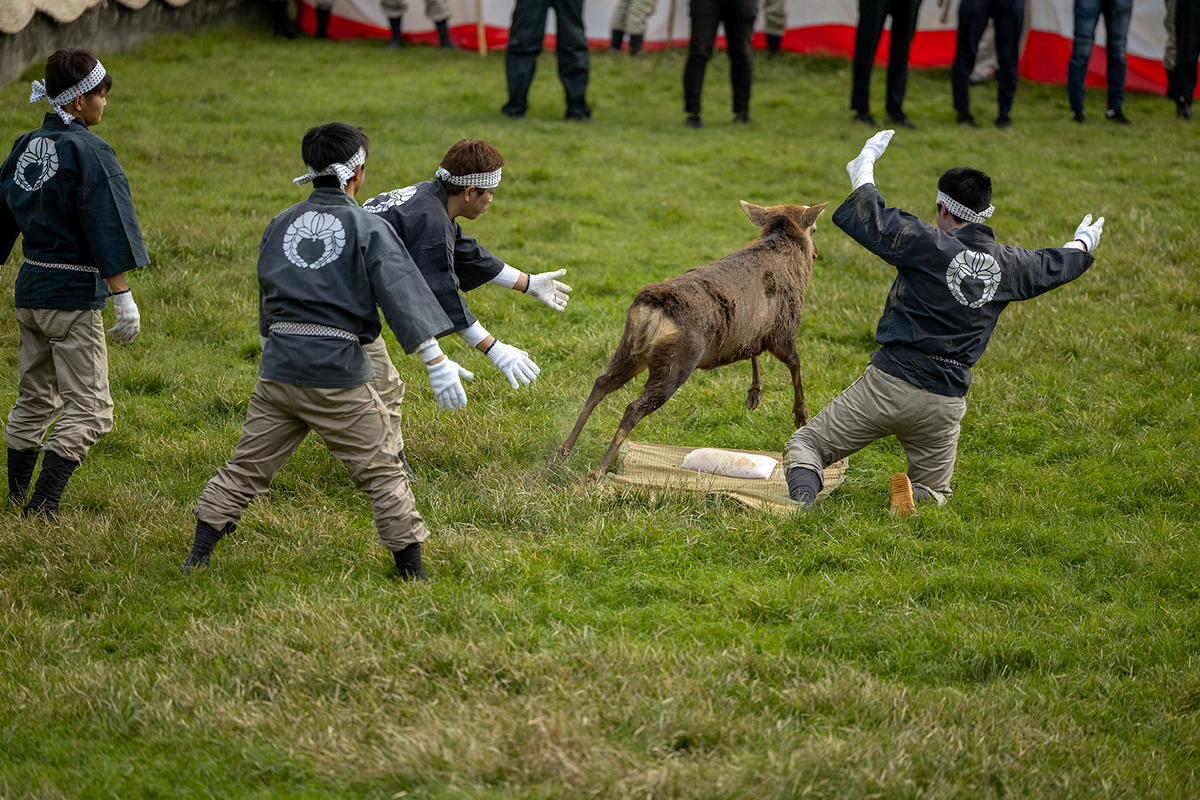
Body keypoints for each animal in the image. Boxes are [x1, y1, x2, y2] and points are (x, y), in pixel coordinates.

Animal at [549, 200, 825, 474]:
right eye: (814, 229)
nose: (816, 253)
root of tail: (652, 310)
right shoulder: (784, 327)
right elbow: (795, 362)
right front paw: (801, 414)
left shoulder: (753, 331)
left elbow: (753, 351)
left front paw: (755, 393)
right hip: (678, 360)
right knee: (633, 407)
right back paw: (597, 471)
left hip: (629, 347)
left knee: (601, 383)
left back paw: (560, 454)